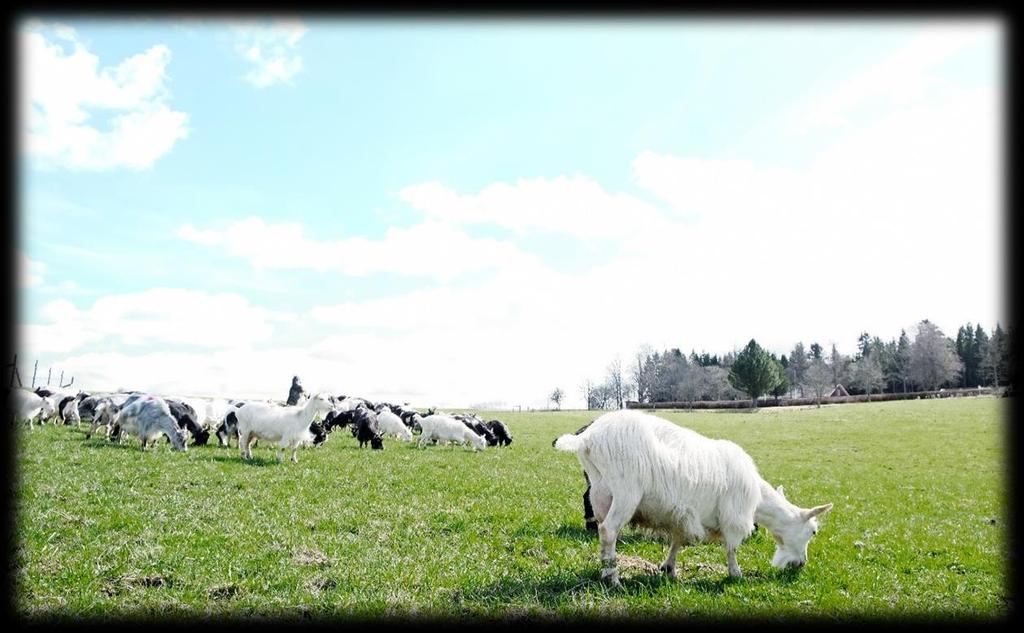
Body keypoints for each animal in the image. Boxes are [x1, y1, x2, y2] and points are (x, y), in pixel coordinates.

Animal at [552, 409, 831, 581]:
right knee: (609, 530)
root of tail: (587, 438)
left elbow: (678, 540)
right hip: (625, 492)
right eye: (813, 531)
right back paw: (613, 579)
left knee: (601, 529)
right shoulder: (733, 517)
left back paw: (605, 571)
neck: (758, 500)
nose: (801, 564)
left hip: (599, 492)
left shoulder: (682, 513)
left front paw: (668, 568)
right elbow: (732, 547)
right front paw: (736, 574)